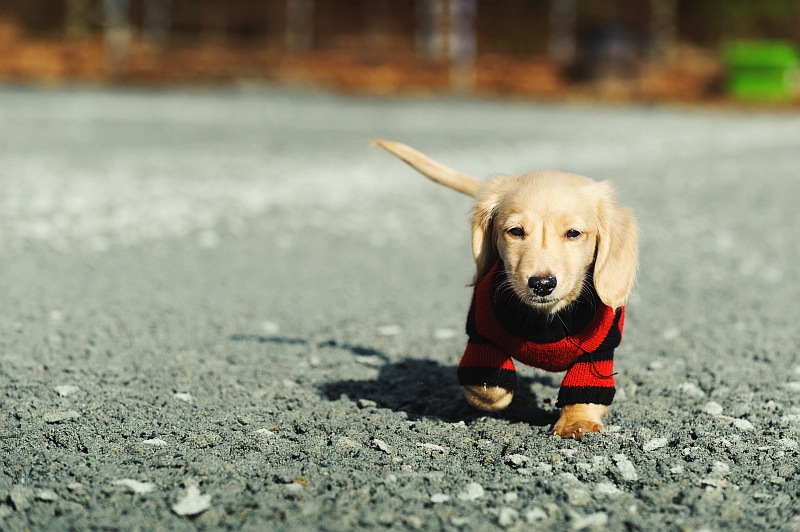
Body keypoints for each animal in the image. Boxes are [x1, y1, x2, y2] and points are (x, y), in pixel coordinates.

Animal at [372, 139, 640, 438]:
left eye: (573, 233)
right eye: (515, 231)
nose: (542, 284)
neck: (545, 320)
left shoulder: (598, 352)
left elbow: (586, 391)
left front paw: (577, 422)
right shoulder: (481, 336)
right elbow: (489, 387)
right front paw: (497, 396)